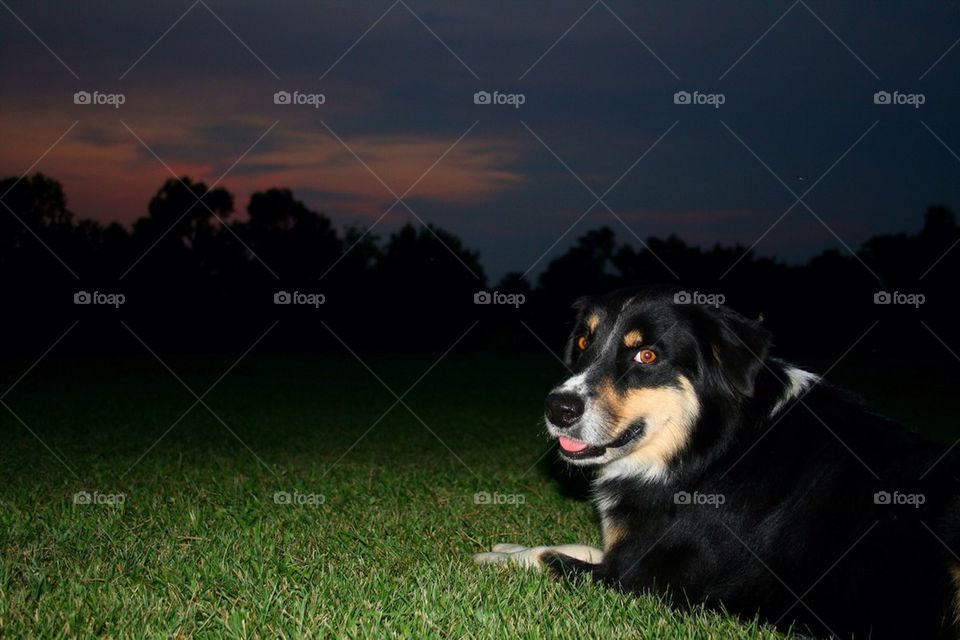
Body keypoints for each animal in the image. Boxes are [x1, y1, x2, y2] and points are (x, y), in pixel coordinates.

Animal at [474, 286, 960, 640]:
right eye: (582, 341)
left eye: (646, 355)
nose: (558, 408)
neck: (709, 451)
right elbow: (577, 546)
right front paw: (509, 547)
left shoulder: (643, 580)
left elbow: (551, 558)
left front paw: (494, 558)